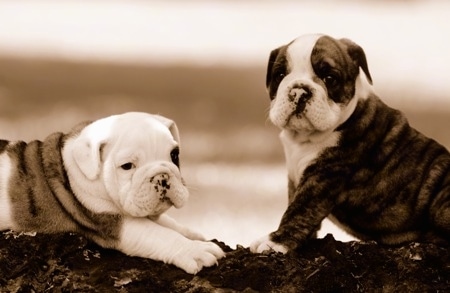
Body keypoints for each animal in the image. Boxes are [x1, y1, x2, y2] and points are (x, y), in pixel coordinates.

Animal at [0, 110, 224, 272]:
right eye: (127, 166)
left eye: (175, 155)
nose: (162, 177)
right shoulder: (112, 222)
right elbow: (159, 233)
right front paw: (195, 250)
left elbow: (168, 223)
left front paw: (193, 235)